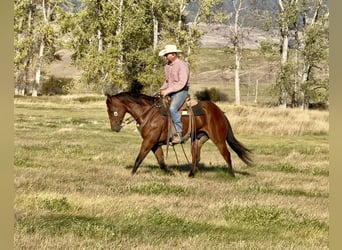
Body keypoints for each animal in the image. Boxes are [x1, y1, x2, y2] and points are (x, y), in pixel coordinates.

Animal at [105, 92, 252, 178]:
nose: (115, 128)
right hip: (198, 139)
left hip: (218, 139)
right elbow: (160, 160)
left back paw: (232, 175)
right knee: (196, 156)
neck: (149, 113)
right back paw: (191, 174)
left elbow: (140, 157)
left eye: (111, 110)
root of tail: (219, 111)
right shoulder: (154, 143)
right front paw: (169, 172)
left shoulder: (149, 141)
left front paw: (131, 174)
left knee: (226, 154)